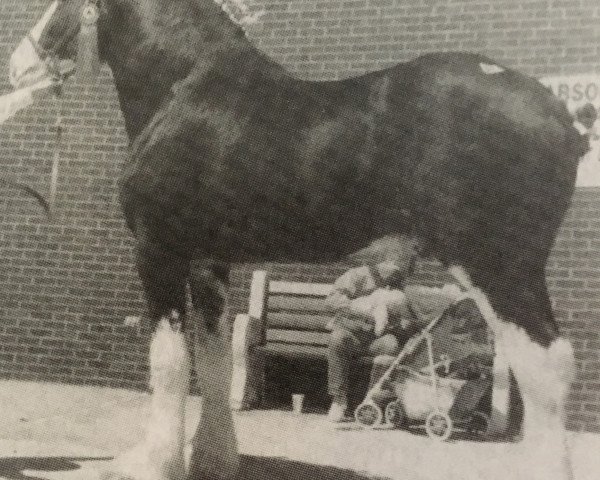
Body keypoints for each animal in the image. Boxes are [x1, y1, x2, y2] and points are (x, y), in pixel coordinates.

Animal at [9, 0, 592, 480]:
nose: (17, 63)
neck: (182, 88)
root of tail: (559, 114)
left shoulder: (159, 251)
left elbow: (169, 363)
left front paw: (153, 464)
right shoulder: (208, 263)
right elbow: (214, 362)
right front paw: (213, 460)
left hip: (500, 267)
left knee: (545, 367)